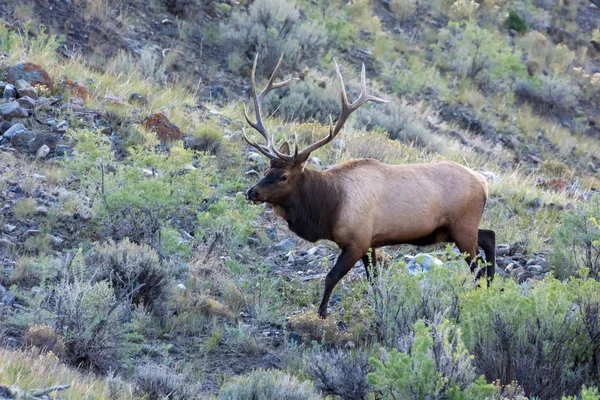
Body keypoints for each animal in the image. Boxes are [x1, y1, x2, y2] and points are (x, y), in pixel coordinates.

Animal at [241, 55, 494, 318]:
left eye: (283, 177)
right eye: (266, 170)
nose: (252, 192)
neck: (329, 208)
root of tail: (484, 183)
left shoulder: (358, 241)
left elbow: (331, 277)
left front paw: (322, 314)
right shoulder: (371, 244)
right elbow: (373, 280)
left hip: (462, 227)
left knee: (479, 266)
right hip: (456, 229)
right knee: (489, 237)